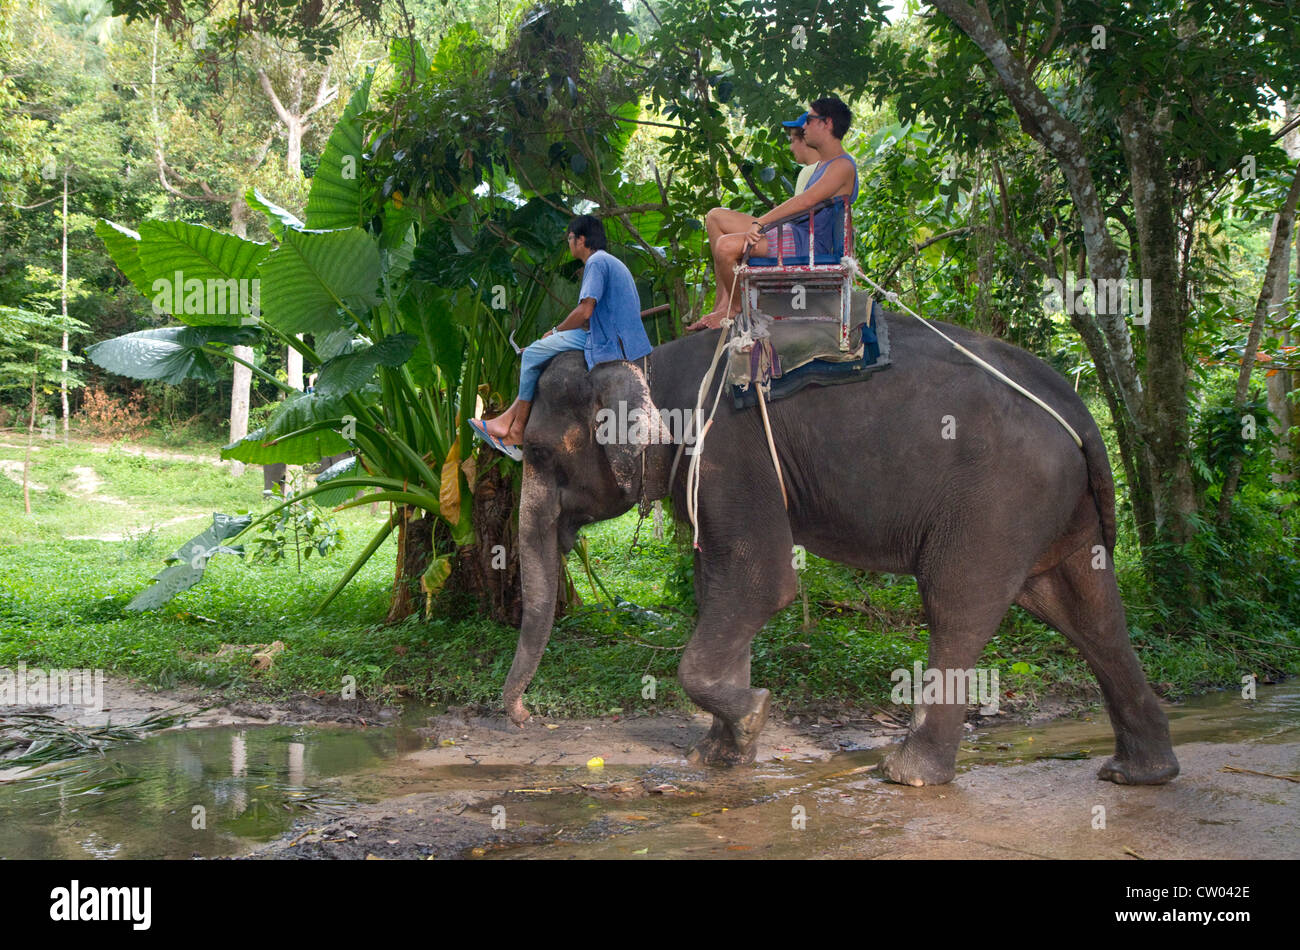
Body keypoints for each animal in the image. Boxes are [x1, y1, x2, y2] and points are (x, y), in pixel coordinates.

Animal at [501, 311, 1179, 787]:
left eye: (536, 452)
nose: (524, 717)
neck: (648, 362)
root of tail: (1078, 411)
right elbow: (718, 587)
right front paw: (722, 754)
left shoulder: (729, 453)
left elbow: (760, 582)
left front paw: (753, 714)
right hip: (1058, 509)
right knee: (1087, 612)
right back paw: (1140, 773)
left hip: (998, 503)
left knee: (956, 607)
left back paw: (906, 772)